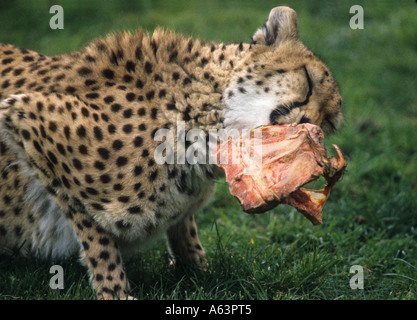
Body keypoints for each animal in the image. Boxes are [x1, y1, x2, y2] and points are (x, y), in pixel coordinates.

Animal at [0, 6, 342, 298]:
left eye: (328, 123)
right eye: (308, 81)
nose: (311, 126)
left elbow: (182, 225)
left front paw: (198, 270)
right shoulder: (22, 115)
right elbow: (95, 234)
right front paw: (114, 291)